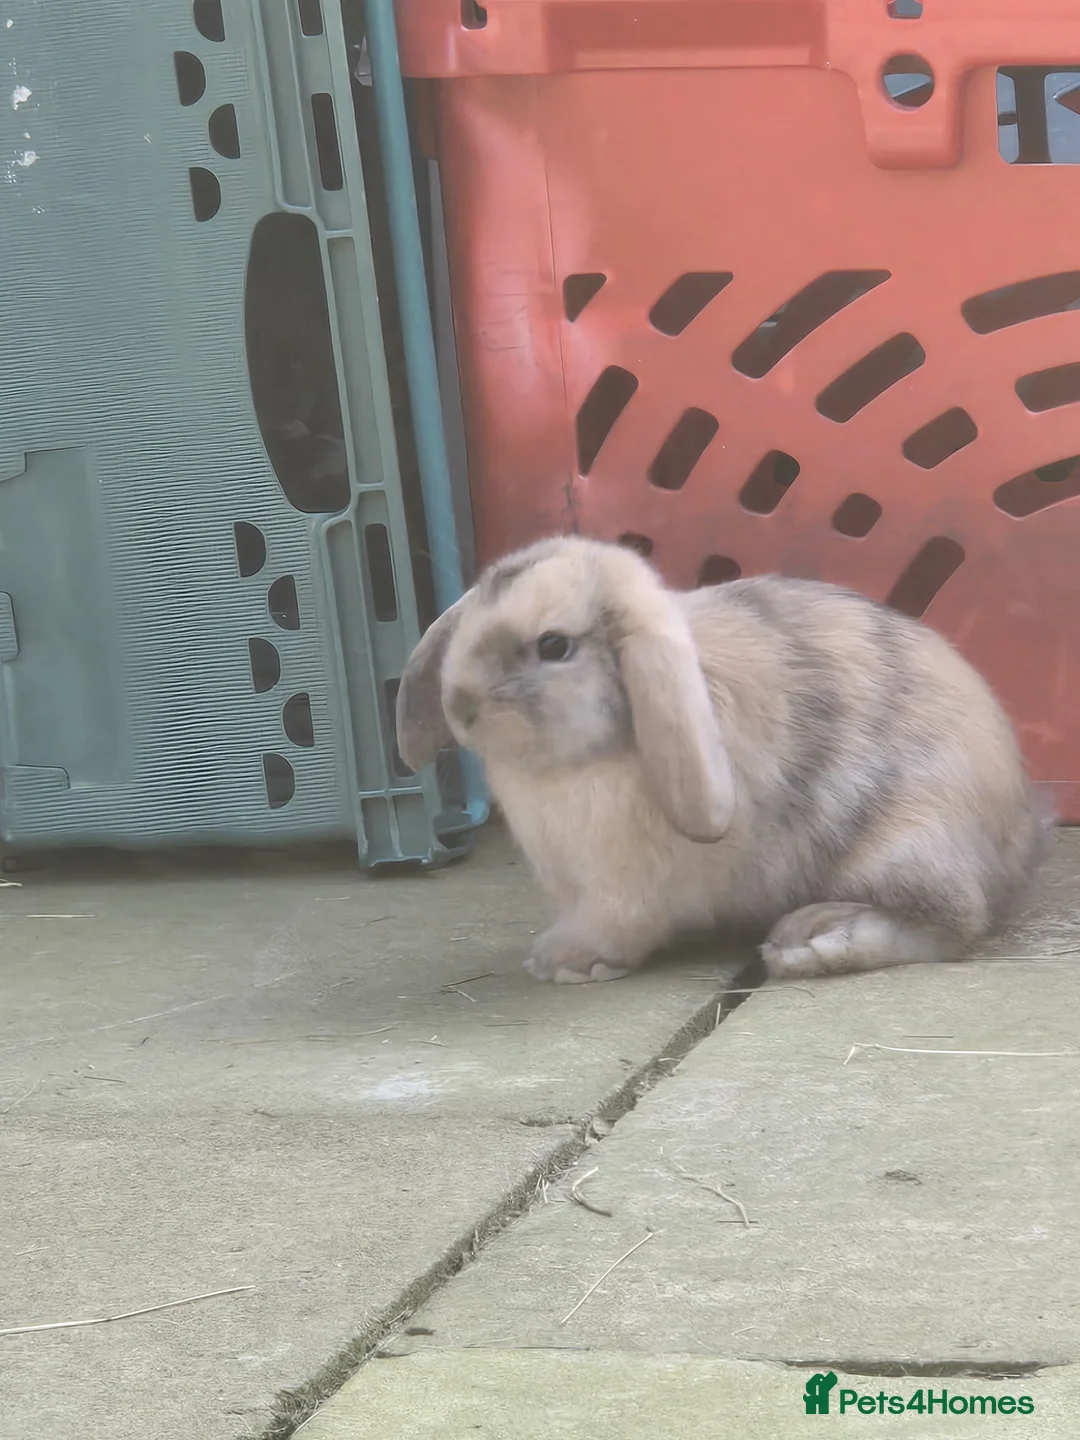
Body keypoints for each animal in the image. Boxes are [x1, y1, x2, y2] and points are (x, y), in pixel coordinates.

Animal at [396, 535, 1046, 985]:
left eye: (554, 646)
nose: (461, 705)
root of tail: (1018, 839)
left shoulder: (621, 887)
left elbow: (616, 923)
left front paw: (566, 962)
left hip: (908, 842)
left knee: (954, 923)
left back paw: (813, 940)